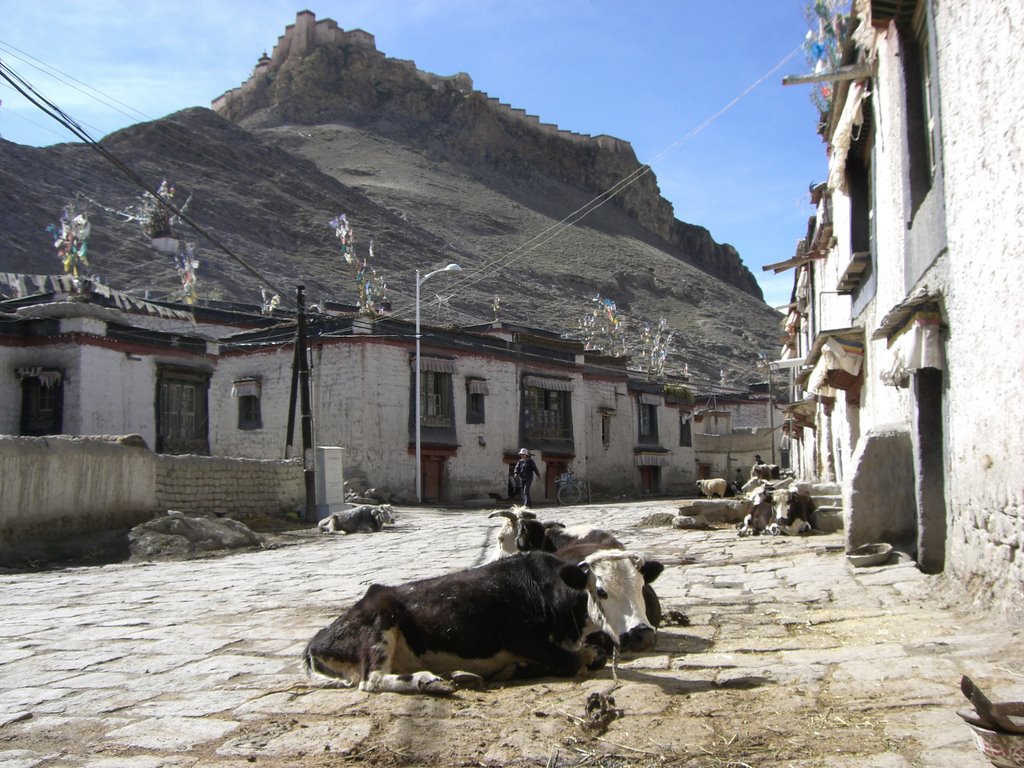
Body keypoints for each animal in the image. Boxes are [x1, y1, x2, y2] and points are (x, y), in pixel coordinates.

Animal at [301, 548, 663, 696]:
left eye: (641, 587)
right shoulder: (519, 636)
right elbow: (573, 662)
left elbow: (592, 655)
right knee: (372, 680)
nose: (641, 634)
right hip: (380, 624)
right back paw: (429, 682)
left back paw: (457, 675)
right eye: (601, 591)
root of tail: (318, 638)